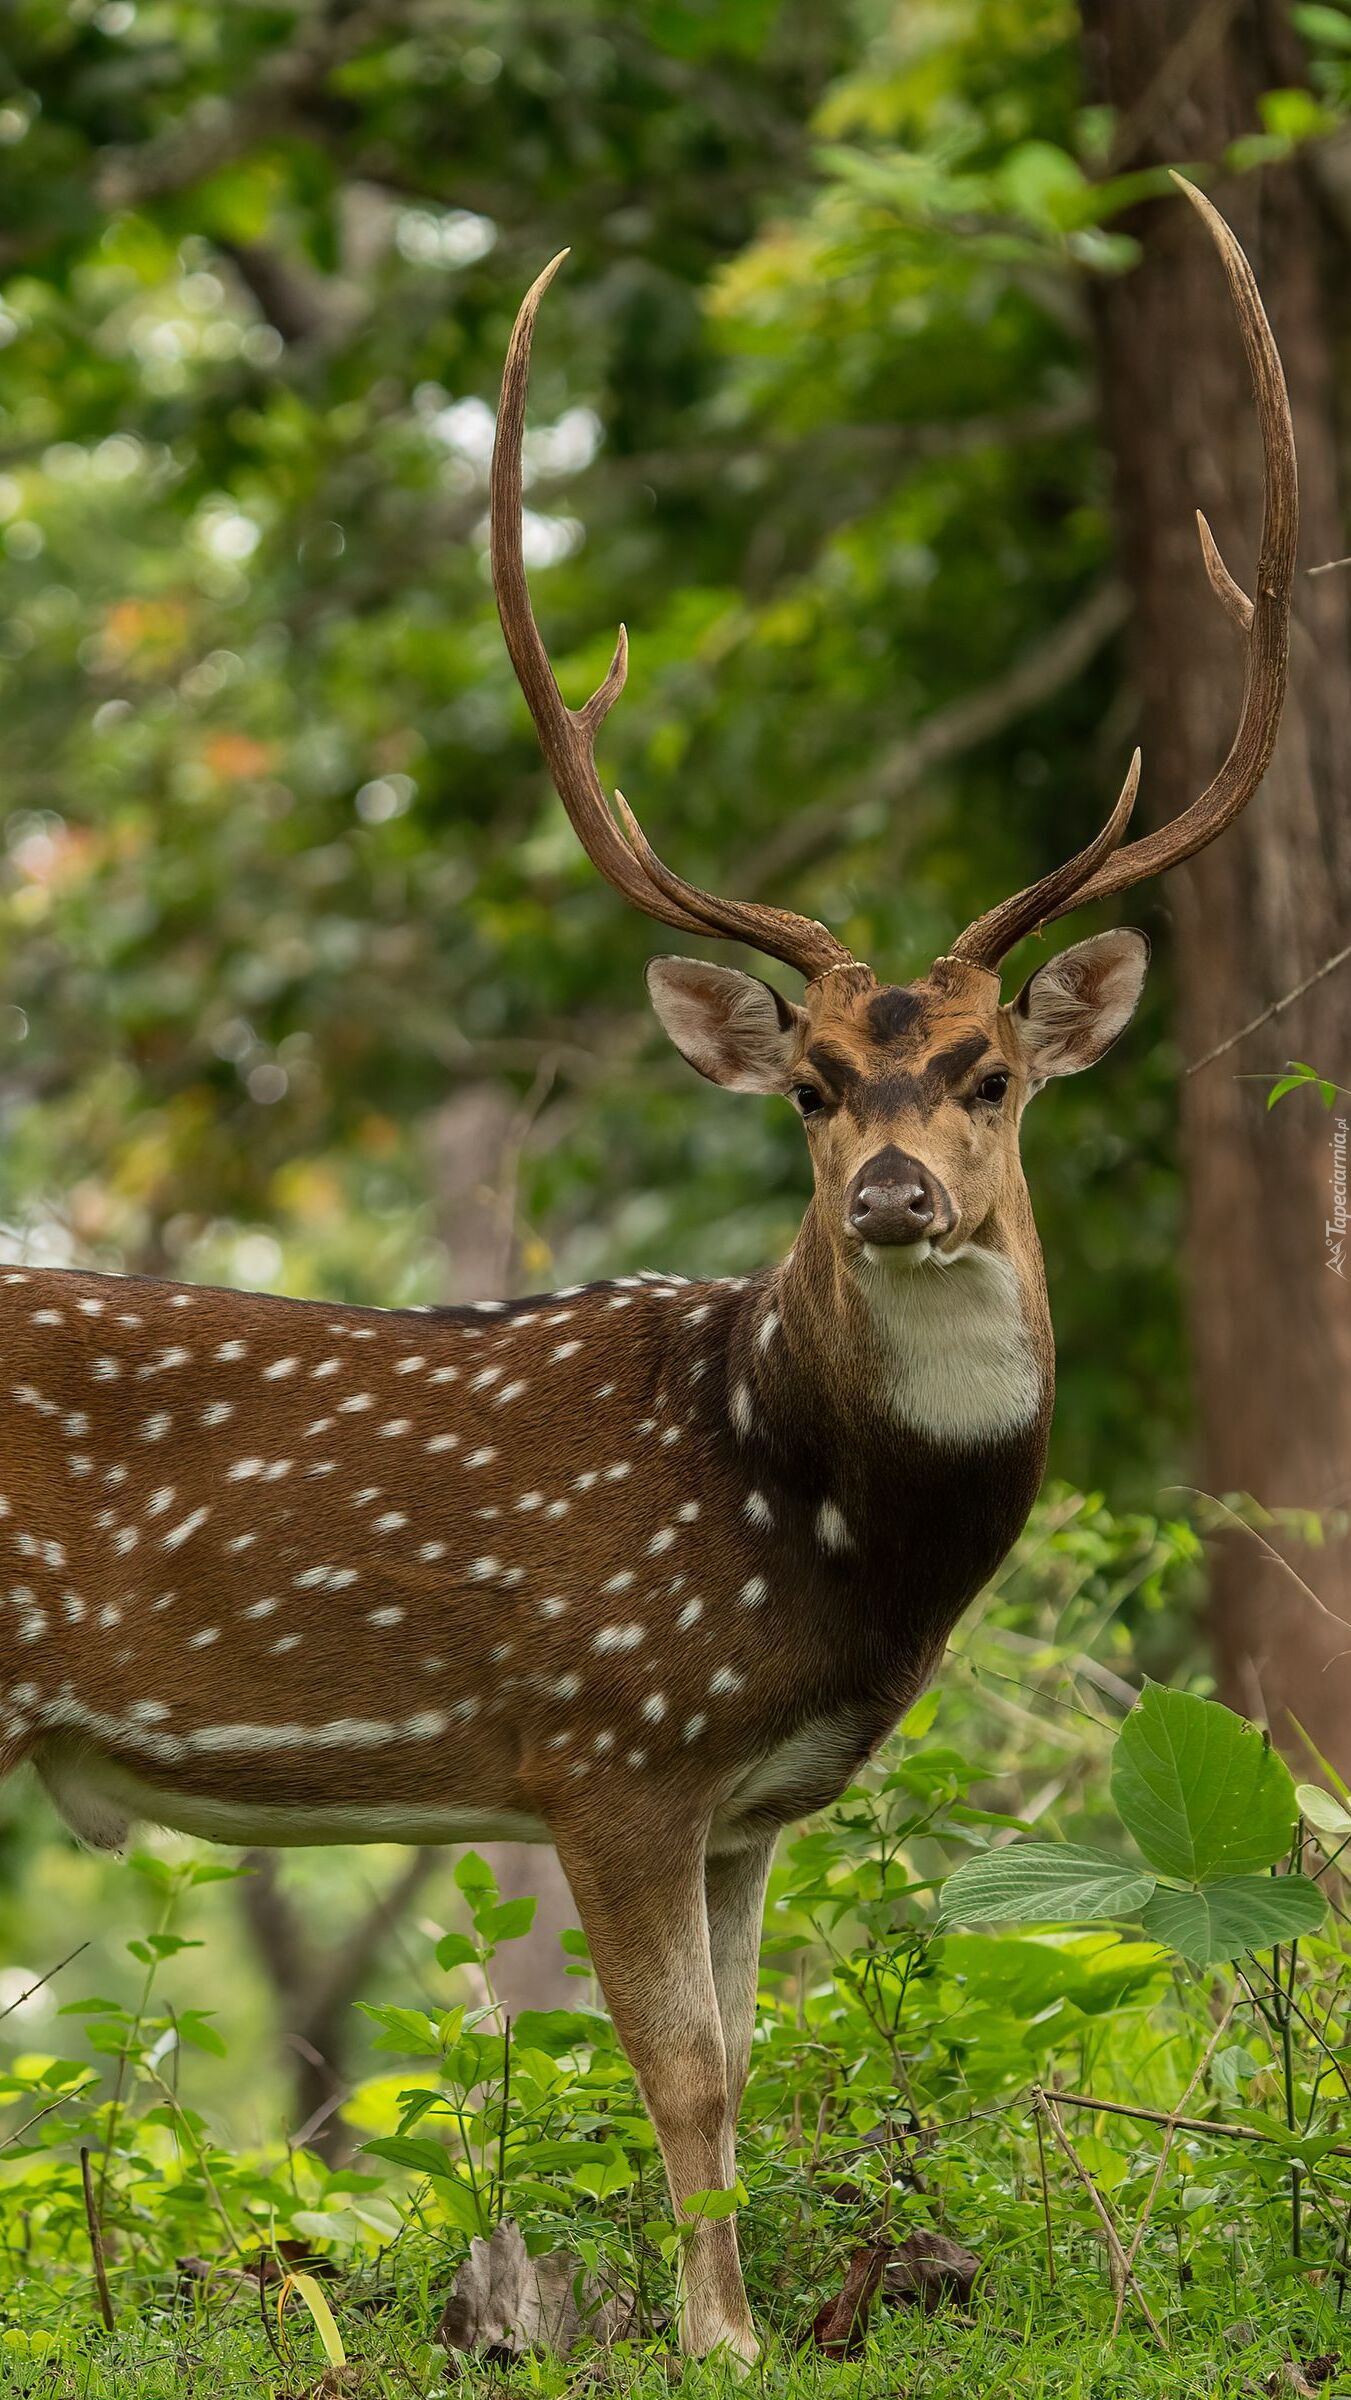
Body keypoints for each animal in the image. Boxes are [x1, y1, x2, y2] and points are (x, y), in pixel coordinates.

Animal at [2, 187, 1295, 2361]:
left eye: (991, 1073)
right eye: (808, 1084)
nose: (891, 1193)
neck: (816, 1519)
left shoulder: (751, 1797)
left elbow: (746, 2061)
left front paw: (736, 2311)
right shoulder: (606, 1736)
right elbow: (674, 2066)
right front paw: (721, 2335)